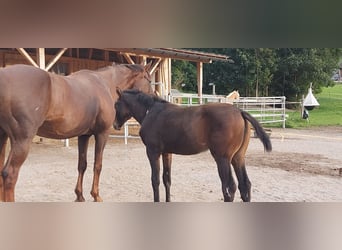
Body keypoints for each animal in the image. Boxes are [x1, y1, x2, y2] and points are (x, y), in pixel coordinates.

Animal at [0, 63, 152, 201]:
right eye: (149, 80)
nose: (153, 97)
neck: (105, 83)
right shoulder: (102, 134)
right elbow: (98, 165)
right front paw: (96, 195)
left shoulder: (84, 135)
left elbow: (82, 165)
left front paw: (79, 196)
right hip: (22, 141)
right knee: (10, 175)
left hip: (3, 138)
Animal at [115, 89, 272, 202]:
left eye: (116, 104)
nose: (115, 125)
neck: (152, 112)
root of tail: (240, 111)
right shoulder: (167, 153)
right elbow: (167, 179)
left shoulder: (152, 152)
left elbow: (155, 180)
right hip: (238, 158)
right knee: (245, 185)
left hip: (222, 159)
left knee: (230, 188)